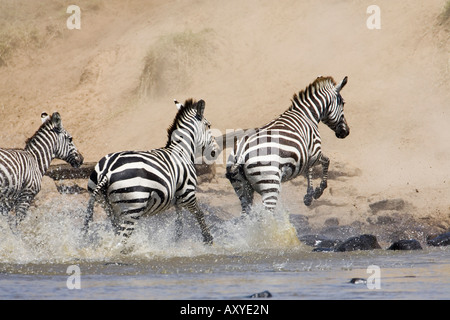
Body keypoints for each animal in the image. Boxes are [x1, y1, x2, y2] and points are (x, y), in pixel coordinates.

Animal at [84, 99, 220, 246]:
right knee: (120, 242)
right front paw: (208, 239)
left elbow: (179, 221)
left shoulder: (178, 197)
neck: (181, 151)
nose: (216, 151)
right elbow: (199, 213)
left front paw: (176, 240)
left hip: (109, 207)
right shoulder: (187, 193)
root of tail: (107, 170)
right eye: (209, 125)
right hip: (133, 208)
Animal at [227, 76, 350, 214]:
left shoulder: (304, 157)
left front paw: (309, 196)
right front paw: (317, 192)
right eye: (343, 103)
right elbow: (326, 162)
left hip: (242, 189)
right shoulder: (314, 152)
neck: (308, 115)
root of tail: (241, 154)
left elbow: (309, 171)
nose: (346, 132)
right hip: (270, 183)